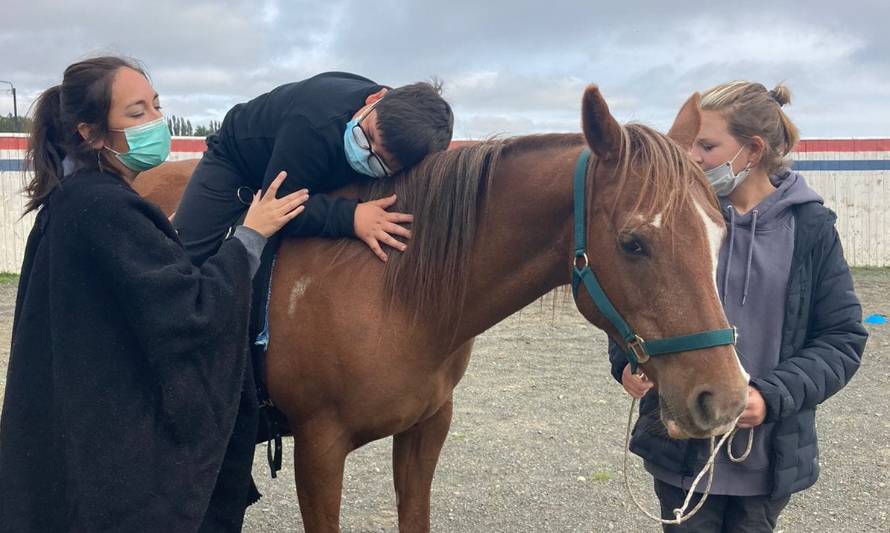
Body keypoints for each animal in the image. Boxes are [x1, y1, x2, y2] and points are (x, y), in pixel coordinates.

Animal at [135, 85, 744, 528]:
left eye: (720, 231)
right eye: (633, 242)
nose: (727, 399)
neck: (390, 290)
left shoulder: (426, 430)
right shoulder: (318, 449)